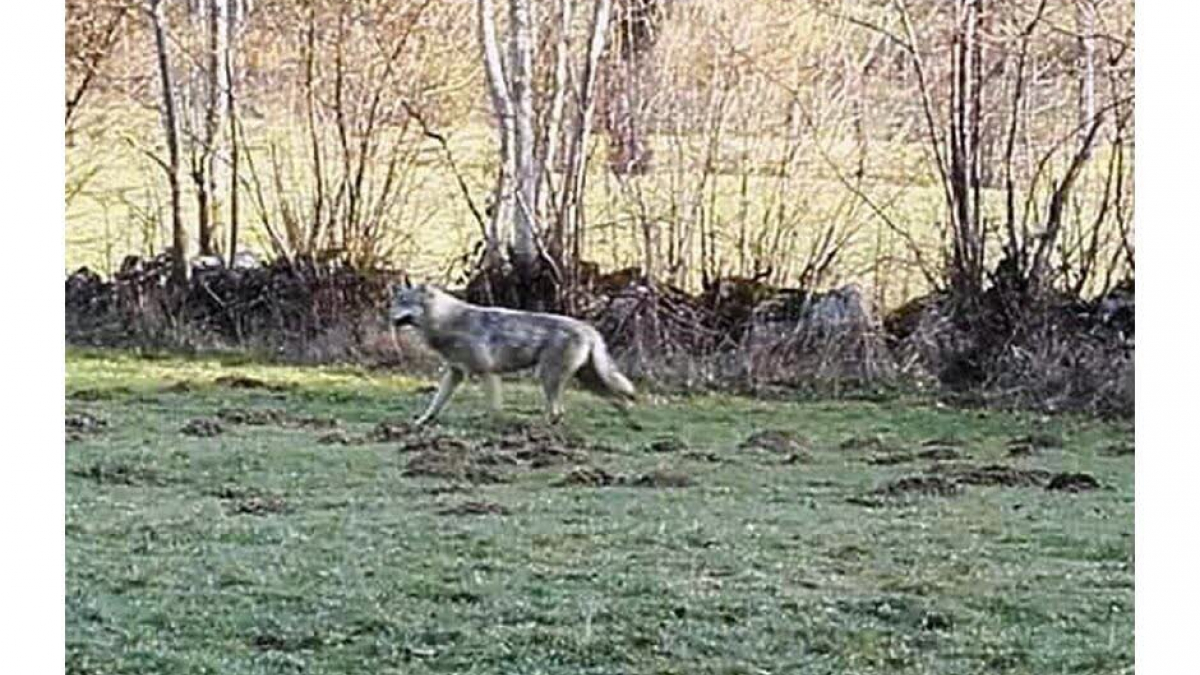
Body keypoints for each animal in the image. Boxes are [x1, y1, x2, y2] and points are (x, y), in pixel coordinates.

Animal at [391, 281, 638, 422]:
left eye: (405, 303)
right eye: (395, 303)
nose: (390, 318)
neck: (448, 321)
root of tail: (588, 328)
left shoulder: (486, 372)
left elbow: (493, 408)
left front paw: (493, 425)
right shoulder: (455, 373)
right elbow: (435, 403)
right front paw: (422, 422)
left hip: (549, 378)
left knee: (557, 412)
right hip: (586, 381)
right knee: (620, 401)